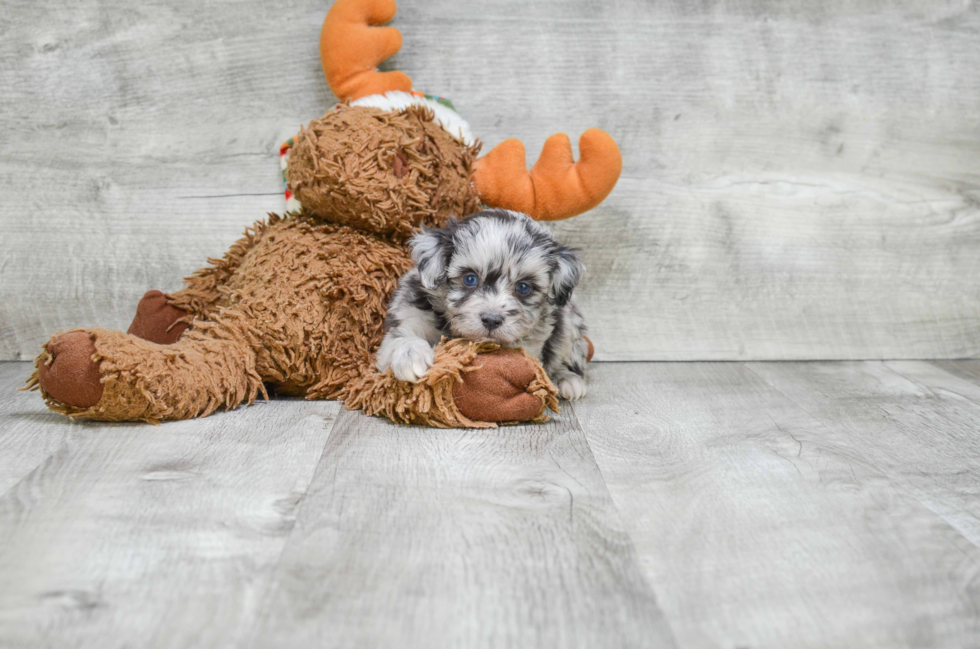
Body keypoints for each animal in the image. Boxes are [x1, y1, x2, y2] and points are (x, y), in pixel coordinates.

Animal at [376, 208, 588, 400]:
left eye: (523, 287)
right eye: (470, 279)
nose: (492, 320)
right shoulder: (408, 315)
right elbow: (402, 338)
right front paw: (411, 357)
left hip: (569, 324)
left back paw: (567, 379)